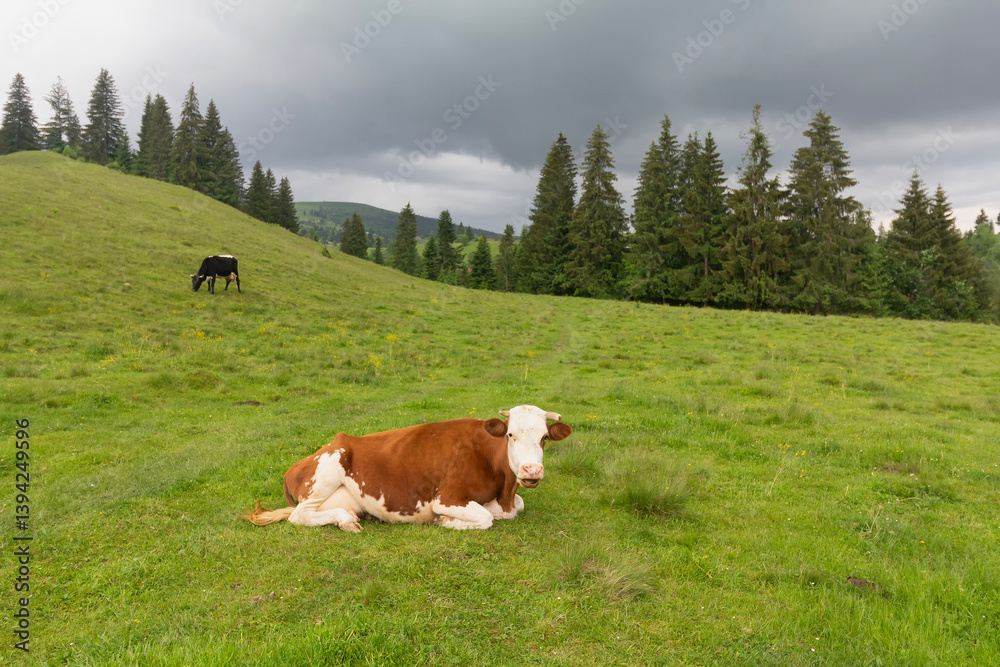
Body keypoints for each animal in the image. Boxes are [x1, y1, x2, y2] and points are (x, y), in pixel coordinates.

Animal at [242, 405, 572, 532]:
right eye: (510, 434)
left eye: (544, 437)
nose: (531, 470)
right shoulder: (447, 497)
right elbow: (484, 518)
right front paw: (445, 522)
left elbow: (518, 506)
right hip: (329, 467)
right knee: (299, 516)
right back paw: (345, 520)